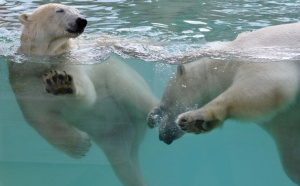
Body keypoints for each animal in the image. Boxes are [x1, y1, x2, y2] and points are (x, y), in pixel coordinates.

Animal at [8, 3, 158, 186]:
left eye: (77, 10)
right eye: (60, 11)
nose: (82, 20)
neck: (45, 60)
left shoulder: (71, 61)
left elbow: (87, 95)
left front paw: (61, 83)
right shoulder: (23, 78)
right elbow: (41, 118)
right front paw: (81, 146)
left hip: (117, 74)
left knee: (131, 90)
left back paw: (156, 113)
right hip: (113, 138)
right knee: (123, 163)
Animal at [149, 21, 300, 185]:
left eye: (165, 106)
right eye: (161, 109)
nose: (162, 136)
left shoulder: (260, 56)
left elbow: (268, 82)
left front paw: (193, 119)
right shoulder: (284, 121)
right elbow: (291, 157)